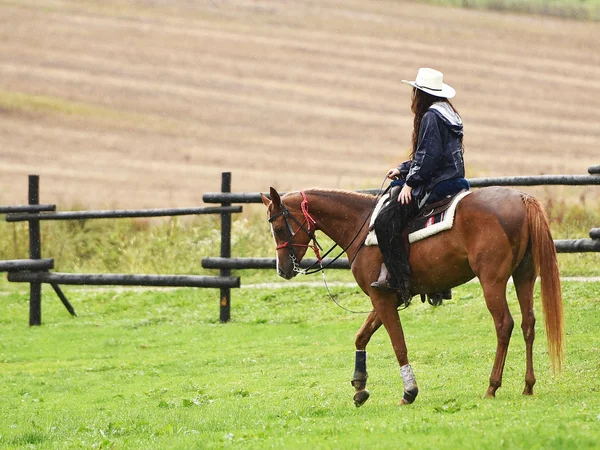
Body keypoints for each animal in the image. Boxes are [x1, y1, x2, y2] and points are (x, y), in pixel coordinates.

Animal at [260, 186, 564, 408]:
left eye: (279, 228)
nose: (283, 270)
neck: (362, 226)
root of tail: (521, 198)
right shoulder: (385, 297)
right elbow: (361, 337)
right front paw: (360, 387)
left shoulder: (381, 299)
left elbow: (399, 345)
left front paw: (409, 391)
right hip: (524, 275)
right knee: (528, 323)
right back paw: (528, 385)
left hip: (492, 281)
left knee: (504, 325)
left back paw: (492, 385)